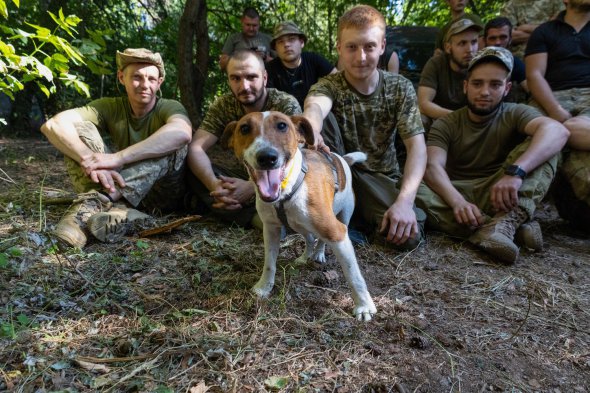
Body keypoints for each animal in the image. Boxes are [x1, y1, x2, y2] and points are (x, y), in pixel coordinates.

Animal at [222, 110, 380, 322]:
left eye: (282, 125)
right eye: (244, 128)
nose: (267, 157)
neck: (286, 189)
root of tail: (341, 159)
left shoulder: (337, 231)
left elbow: (353, 274)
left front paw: (363, 305)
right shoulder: (270, 230)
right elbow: (269, 263)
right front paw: (264, 287)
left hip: (343, 215)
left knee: (323, 238)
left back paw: (319, 254)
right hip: (300, 225)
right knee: (311, 238)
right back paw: (306, 256)